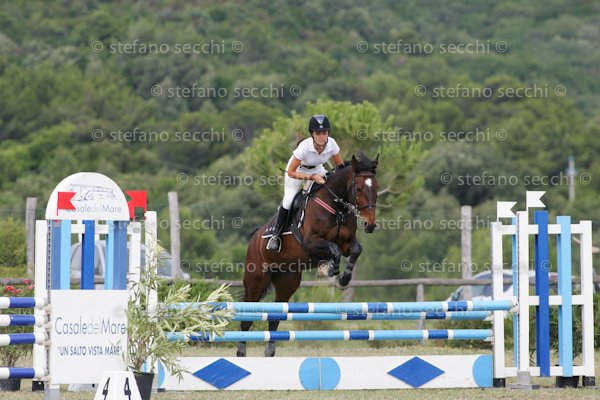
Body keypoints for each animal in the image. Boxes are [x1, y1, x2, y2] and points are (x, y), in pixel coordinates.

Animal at [237, 153, 379, 357]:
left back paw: (270, 350)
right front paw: (330, 270)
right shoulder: (310, 243)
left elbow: (355, 249)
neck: (336, 208)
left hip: (287, 281)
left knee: (275, 316)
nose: (370, 224)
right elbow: (333, 250)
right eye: (358, 188)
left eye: (376, 187)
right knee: (247, 316)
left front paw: (343, 278)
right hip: (256, 280)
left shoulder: (346, 244)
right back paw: (241, 351)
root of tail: (255, 236)